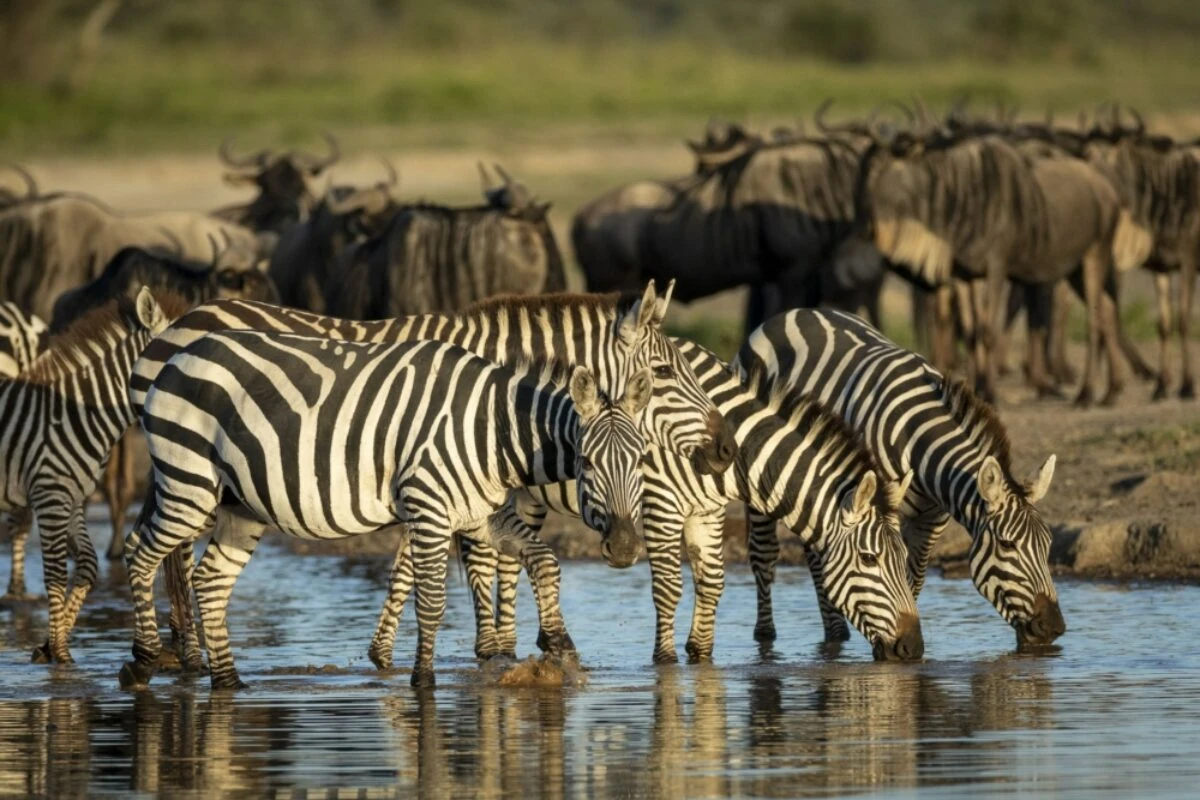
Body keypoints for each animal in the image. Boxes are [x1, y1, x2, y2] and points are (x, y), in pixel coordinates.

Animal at [0, 287, 184, 664]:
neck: (76, 413)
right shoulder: (50, 494)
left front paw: (49, 645)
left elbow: (87, 563)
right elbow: (56, 573)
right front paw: (60, 654)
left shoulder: (73, 497)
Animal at [132, 283, 738, 668]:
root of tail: (173, 323)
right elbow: (479, 562)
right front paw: (492, 647)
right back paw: (176, 653)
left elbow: (465, 561)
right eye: (663, 371)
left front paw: (395, 650)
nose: (725, 449)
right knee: (166, 552)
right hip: (191, 473)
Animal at [368, 339, 926, 666]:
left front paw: (700, 652)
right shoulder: (658, 507)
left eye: (904, 560)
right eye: (871, 559)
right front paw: (665, 659)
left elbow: (713, 583)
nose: (915, 650)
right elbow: (668, 587)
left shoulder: (706, 512)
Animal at [736, 309, 1066, 649]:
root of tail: (794, 312)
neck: (919, 443)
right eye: (1007, 544)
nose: (1053, 628)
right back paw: (766, 635)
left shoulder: (931, 520)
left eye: (1048, 543)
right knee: (764, 555)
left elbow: (912, 577)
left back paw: (836, 634)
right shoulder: (880, 508)